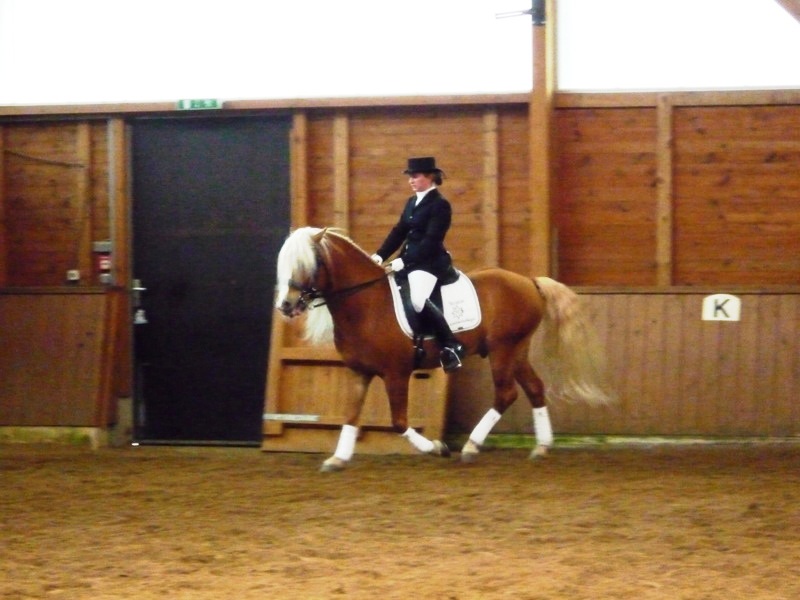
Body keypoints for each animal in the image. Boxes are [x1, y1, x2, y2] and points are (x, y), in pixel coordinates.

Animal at [275, 226, 615, 472]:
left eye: (309, 263)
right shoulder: (360, 372)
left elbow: (399, 422)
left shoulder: (396, 372)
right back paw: (542, 447)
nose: (286, 305)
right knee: (534, 388)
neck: (365, 303)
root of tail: (528, 281)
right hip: (517, 350)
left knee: (506, 394)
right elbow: (350, 415)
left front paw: (437, 448)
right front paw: (338, 458)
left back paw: (471, 447)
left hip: (503, 349)